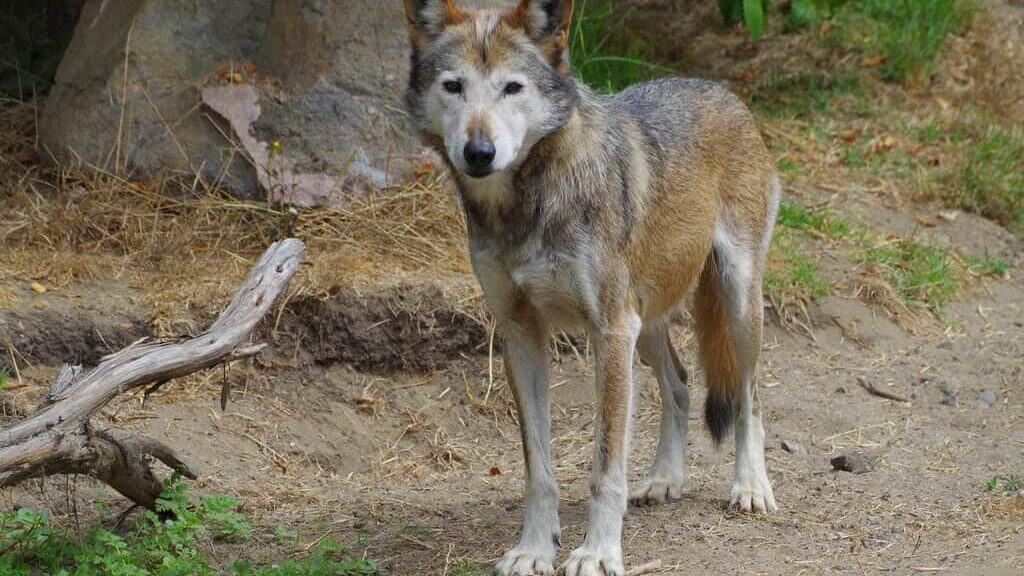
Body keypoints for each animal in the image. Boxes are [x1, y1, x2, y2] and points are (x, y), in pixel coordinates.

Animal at [401, 1, 779, 574]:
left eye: (512, 87)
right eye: (453, 86)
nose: (479, 151)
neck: (528, 206)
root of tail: (722, 90)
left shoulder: (609, 332)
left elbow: (605, 470)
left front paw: (598, 553)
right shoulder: (523, 335)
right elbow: (538, 471)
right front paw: (534, 550)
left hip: (732, 303)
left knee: (748, 397)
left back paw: (751, 486)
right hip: (645, 323)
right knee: (681, 381)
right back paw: (664, 479)